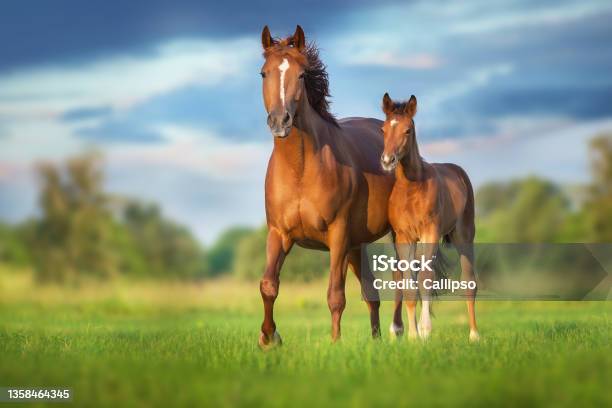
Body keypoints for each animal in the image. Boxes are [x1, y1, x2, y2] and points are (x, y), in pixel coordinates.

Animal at [380, 92, 480, 342]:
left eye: (407, 130)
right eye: (383, 129)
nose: (387, 160)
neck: (411, 188)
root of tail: (458, 171)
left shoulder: (429, 233)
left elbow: (425, 277)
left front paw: (425, 331)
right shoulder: (404, 237)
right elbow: (409, 285)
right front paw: (413, 336)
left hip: (464, 236)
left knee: (469, 281)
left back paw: (474, 334)